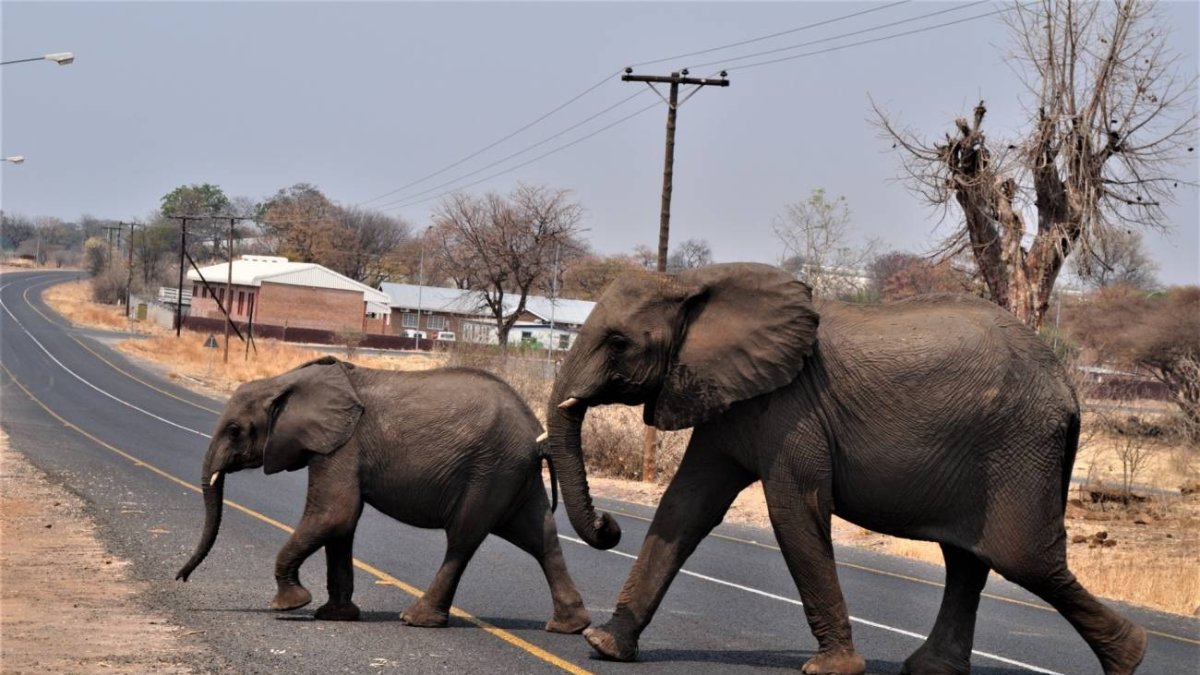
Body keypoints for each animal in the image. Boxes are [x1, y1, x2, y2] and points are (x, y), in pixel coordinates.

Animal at [176, 356, 590, 634]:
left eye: (234, 430)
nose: (181, 578)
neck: (288, 380)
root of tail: (537, 434)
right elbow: (341, 526)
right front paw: (335, 616)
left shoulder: (342, 447)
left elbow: (334, 514)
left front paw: (291, 605)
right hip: (512, 474)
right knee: (540, 537)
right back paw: (569, 626)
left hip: (490, 470)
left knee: (463, 538)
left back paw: (417, 619)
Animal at [546, 263, 1146, 675]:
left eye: (618, 343)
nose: (608, 525)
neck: (693, 283)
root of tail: (1069, 386)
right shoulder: (730, 397)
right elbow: (685, 508)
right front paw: (605, 646)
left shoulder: (793, 407)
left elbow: (794, 511)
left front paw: (830, 670)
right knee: (968, 559)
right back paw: (928, 670)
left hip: (1020, 445)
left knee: (1022, 559)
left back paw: (1131, 658)